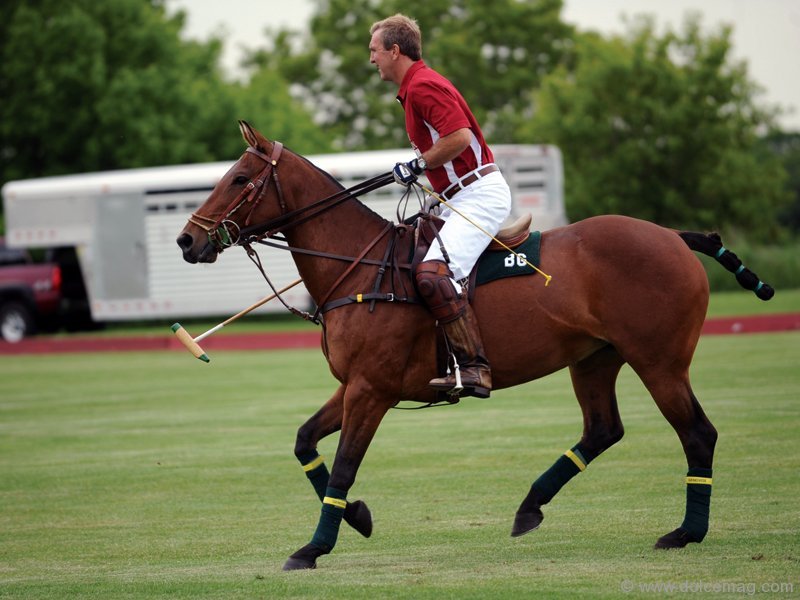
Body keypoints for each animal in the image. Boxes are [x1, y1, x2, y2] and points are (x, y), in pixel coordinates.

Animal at [178, 122, 772, 572]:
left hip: (659, 359)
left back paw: (685, 532)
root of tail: (674, 236)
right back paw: (529, 508)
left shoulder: (372, 390)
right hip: (594, 357)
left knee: (697, 433)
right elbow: (305, 441)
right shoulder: (355, 385)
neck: (360, 266)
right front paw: (359, 517)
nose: (188, 240)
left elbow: (344, 465)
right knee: (604, 429)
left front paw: (313, 547)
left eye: (240, 178)